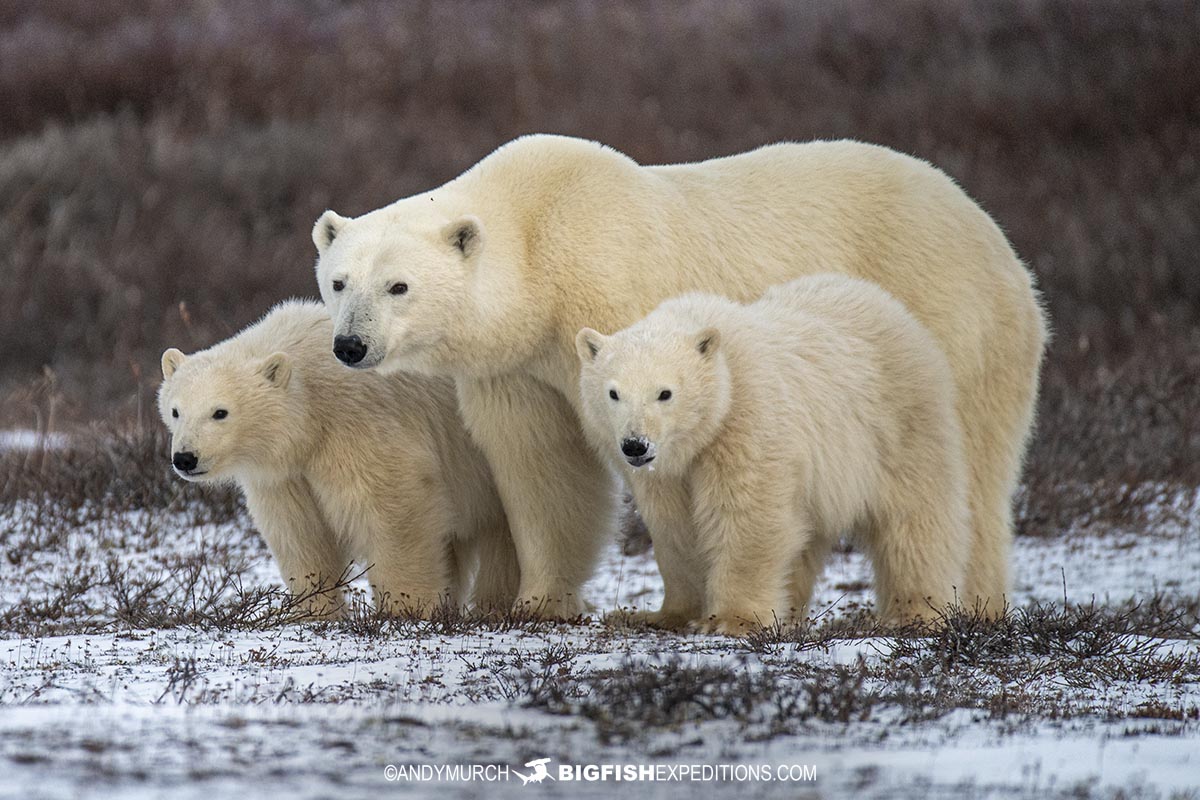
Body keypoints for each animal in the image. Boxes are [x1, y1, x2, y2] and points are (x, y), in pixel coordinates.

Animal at [157, 299, 518, 618]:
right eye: (176, 410)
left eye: (220, 412)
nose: (185, 458)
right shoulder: (286, 477)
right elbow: (300, 534)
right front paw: (313, 612)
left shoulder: (360, 428)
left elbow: (396, 513)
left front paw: (408, 608)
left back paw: (493, 608)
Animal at [575, 274, 971, 634]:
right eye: (614, 393)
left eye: (665, 393)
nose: (635, 445)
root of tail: (888, 304)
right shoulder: (669, 470)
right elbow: (677, 527)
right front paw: (663, 615)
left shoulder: (747, 419)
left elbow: (747, 516)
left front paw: (731, 621)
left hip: (900, 424)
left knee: (913, 518)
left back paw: (913, 612)